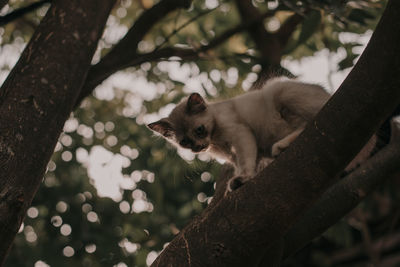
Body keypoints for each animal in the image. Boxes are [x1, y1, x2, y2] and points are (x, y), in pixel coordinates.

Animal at [148, 77, 330, 195]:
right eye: (184, 142)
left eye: (199, 130)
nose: (197, 148)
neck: (216, 141)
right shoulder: (234, 155)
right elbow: (245, 164)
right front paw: (243, 178)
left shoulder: (241, 135)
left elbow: (245, 162)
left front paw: (244, 178)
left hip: (278, 90)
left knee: (309, 121)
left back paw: (281, 145)